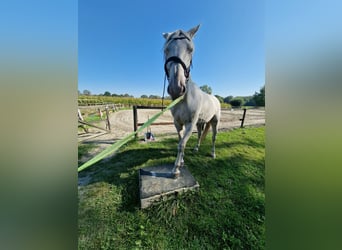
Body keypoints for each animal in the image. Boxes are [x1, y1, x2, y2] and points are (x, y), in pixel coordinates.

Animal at [163, 24, 222, 178]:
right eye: (166, 49)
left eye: (190, 50)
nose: (176, 88)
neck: (184, 99)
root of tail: (216, 99)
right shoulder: (178, 123)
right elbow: (180, 141)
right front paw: (182, 161)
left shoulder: (190, 124)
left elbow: (182, 144)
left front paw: (176, 169)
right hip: (201, 123)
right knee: (200, 135)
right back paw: (196, 148)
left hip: (215, 121)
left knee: (214, 137)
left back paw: (213, 154)